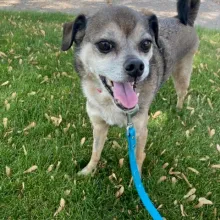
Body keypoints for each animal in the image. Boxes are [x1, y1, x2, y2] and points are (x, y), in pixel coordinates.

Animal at [61, 0, 200, 175]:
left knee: (182, 93)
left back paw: (179, 108)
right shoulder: (99, 126)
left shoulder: (140, 131)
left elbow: (139, 157)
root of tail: (183, 20)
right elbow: (96, 151)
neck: (110, 102)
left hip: (182, 74)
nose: (136, 66)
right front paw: (88, 171)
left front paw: (135, 179)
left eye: (146, 44)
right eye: (104, 45)